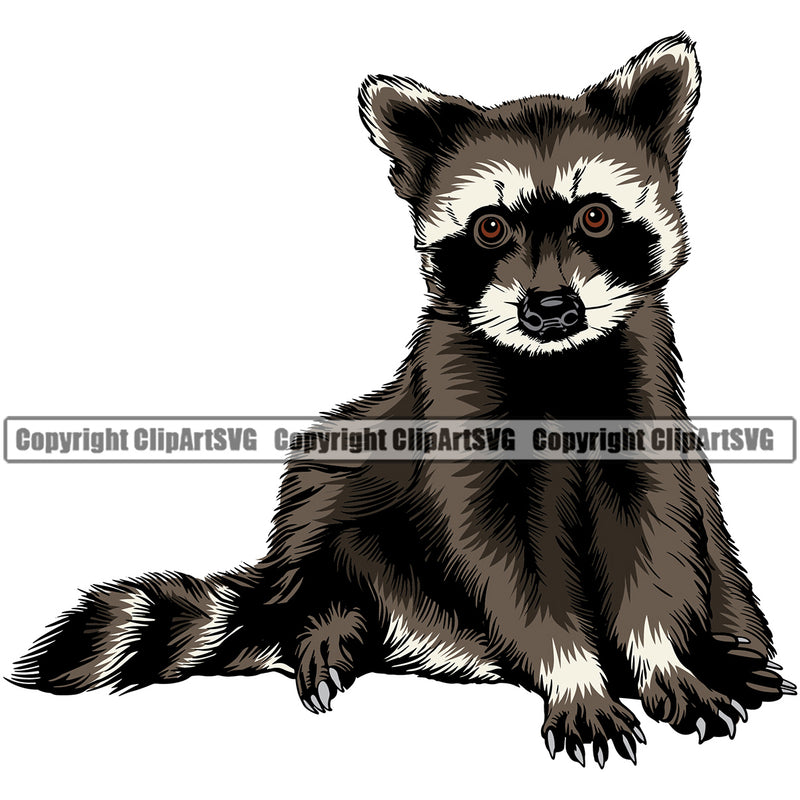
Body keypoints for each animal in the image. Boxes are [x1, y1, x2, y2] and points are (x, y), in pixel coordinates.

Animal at [12, 34, 793, 767]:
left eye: (596, 216)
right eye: (489, 226)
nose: (549, 309)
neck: (553, 367)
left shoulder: (641, 403)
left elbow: (655, 540)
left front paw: (664, 661)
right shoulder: (456, 414)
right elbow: (508, 565)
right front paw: (574, 678)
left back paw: (733, 655)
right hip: (334, 496)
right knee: (325, 533)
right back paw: (329, 625)